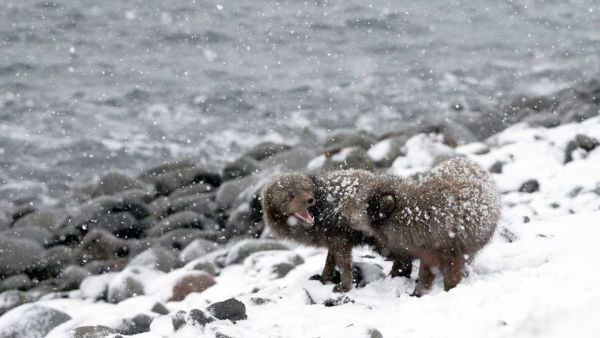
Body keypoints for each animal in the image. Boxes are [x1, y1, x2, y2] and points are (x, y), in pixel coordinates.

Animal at [260, 170, 414, 292]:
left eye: (305, 189)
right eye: (289, 196)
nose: (310, 200)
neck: (322, 208)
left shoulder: (340, 239)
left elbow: (344, 265)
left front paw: (344, 287)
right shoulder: (332, 240)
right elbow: (329, 263)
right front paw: (322, 280)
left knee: (405, 258)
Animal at [344, 158, 500, 296]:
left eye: (363, 205)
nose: (348, 217)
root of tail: (470, 161)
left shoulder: (452, 254)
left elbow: (451, 279)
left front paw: (449, 291)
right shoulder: (426, 253)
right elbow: (424, 275)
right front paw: (418, 293)